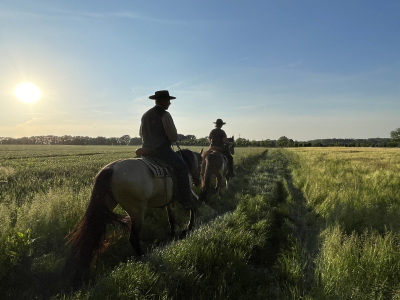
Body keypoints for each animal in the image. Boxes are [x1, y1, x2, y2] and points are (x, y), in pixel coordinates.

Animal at [66, 149, 205, 282]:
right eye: (201, 164)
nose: (198, 181)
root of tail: (111, 169)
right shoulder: (184, 196)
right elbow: (192, 207)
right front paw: (189, 227)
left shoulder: (169, 201)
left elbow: (171, 219)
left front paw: (173, 234)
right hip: (137, 211)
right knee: (133, 238)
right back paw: (143, 258)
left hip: (106, 205)